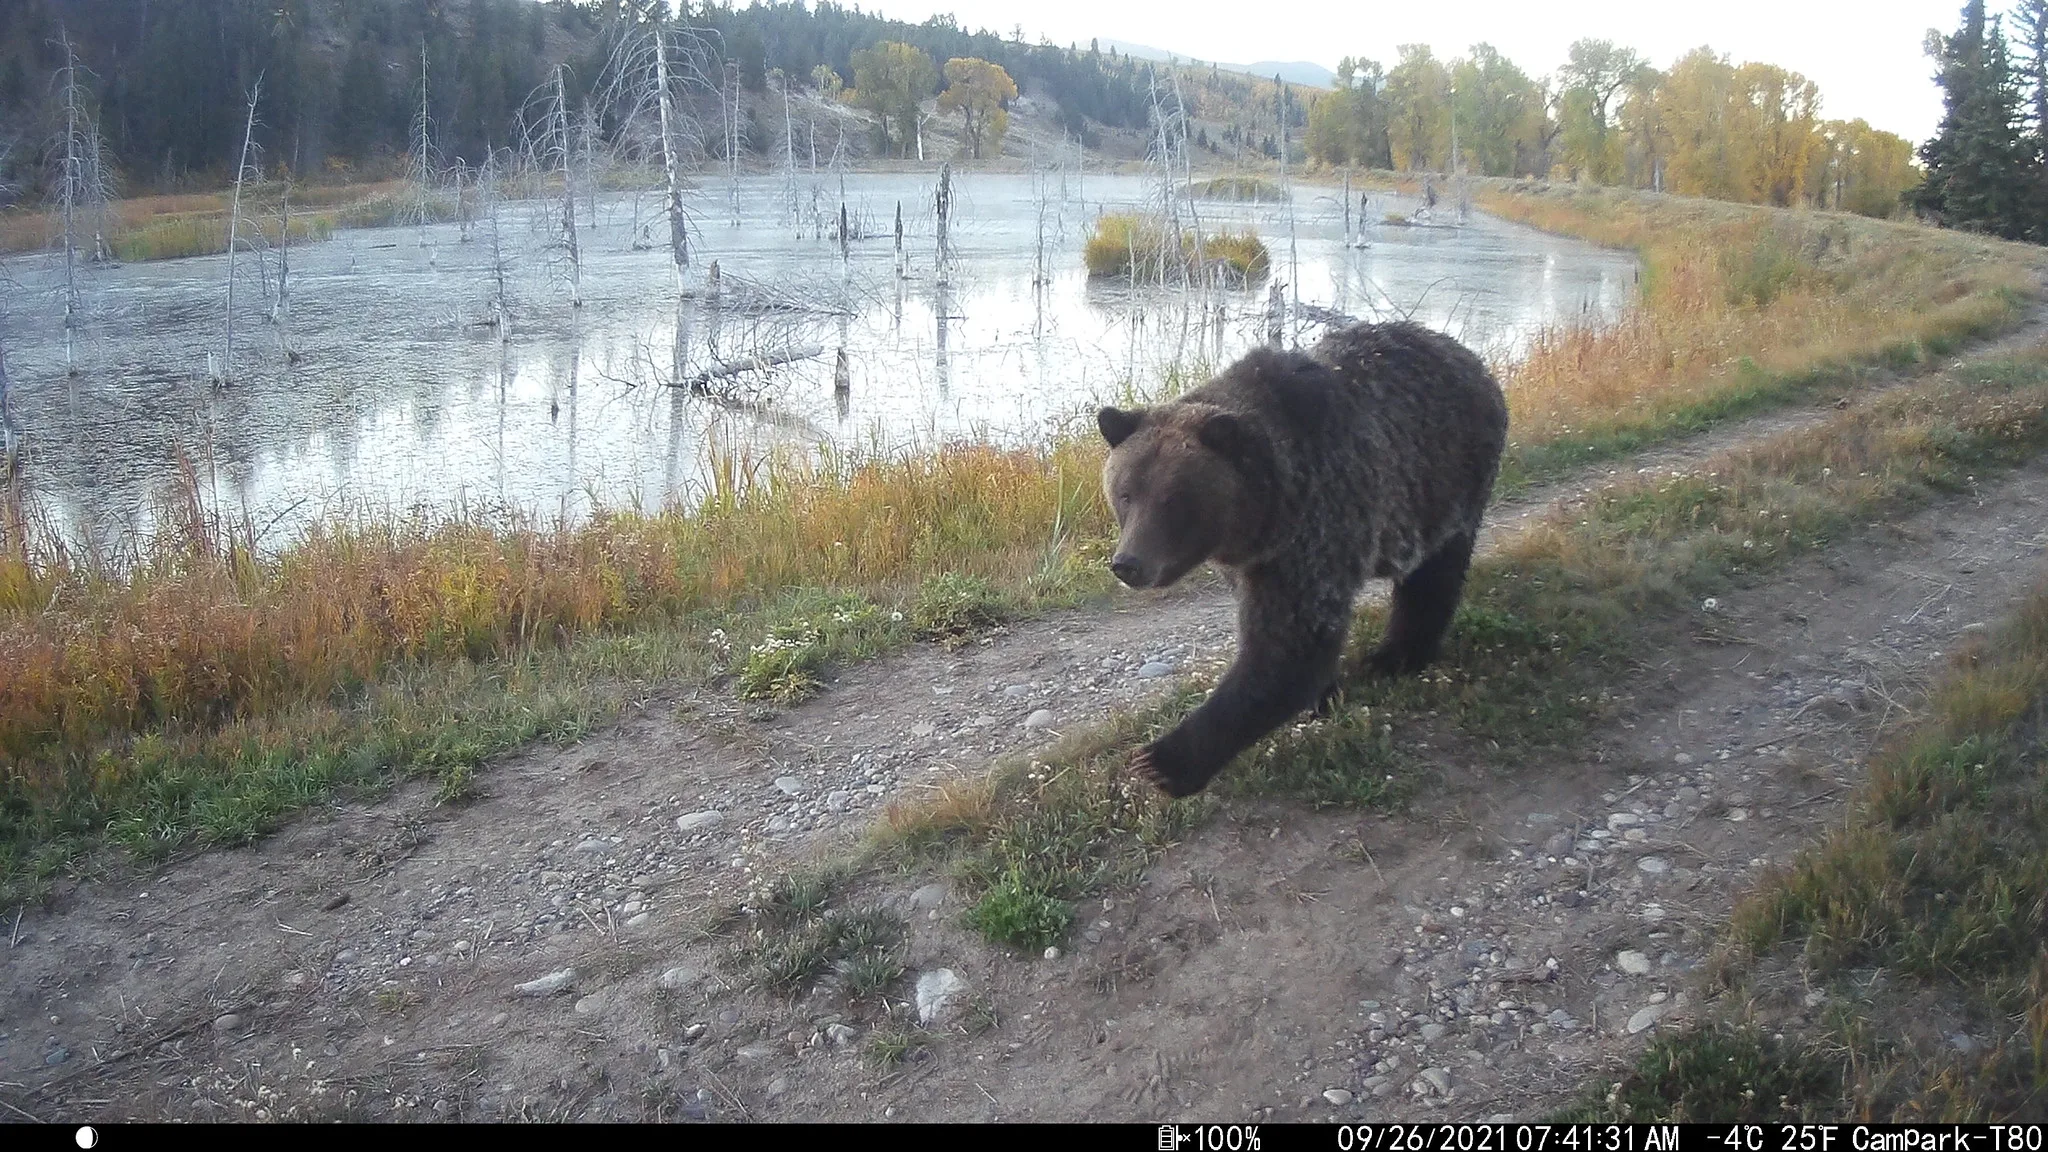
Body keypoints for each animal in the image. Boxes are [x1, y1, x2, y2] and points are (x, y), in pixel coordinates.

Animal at [1105, 317, 1507, 795]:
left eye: (1172, 500)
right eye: (1125, 493)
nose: (1128, 563)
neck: (1266, 512)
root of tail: (1471, 357)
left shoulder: (1316, 527)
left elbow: (1288, 647)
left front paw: (1162, 761)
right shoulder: (1253, 562)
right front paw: (1324, 695)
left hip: (1446, 479)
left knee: (1433, 578)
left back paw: (1396, 657)